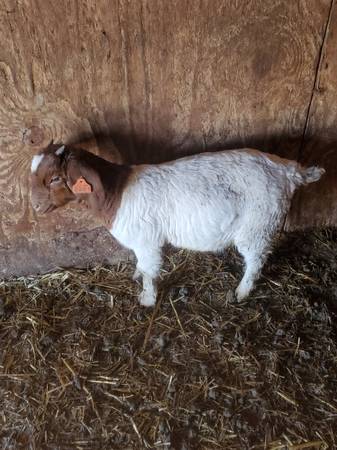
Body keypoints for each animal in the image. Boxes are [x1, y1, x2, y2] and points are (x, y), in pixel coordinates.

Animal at [30, 142, 324, 308]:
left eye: (55, 178)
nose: (35, 208)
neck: (117, 192)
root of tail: (288, 170)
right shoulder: (141, 244)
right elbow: (141, 266)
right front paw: (135, 275)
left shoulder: (147, 241)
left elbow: (150, 271)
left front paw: (147, 300)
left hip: (257, 224)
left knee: (256, 259)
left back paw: (241, 292)